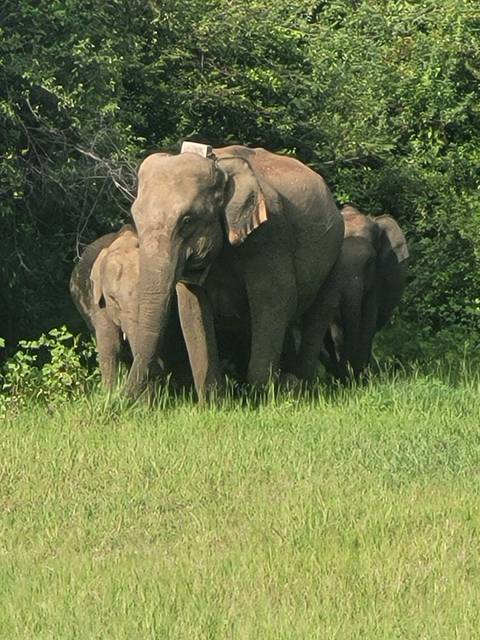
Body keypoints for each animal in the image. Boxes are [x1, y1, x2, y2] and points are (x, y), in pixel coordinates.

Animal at [124, 142, 345, 400]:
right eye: (136, 218)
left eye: (187, 221)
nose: (120, 400)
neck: (220, 166)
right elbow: (192, 306)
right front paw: (213, 402)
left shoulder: (270, 233)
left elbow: (274, 298)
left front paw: (261, 398)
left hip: (336, 254)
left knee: (318, 313)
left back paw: (300, 385)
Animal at [323, 205, 409, 380]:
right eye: (334, 259)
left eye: (370, 262)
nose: (344, 373)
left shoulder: (377, 280)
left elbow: (368, 320)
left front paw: (358, 379)